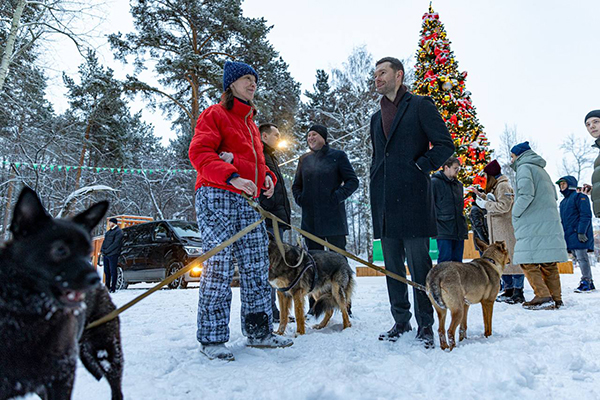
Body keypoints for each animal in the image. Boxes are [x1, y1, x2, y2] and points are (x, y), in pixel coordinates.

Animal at [0, 188, 123, 400]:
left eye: (87, 251)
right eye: (60, 249)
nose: (95, 278)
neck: (28, 316)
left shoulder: (62, 377)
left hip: (106, 351)